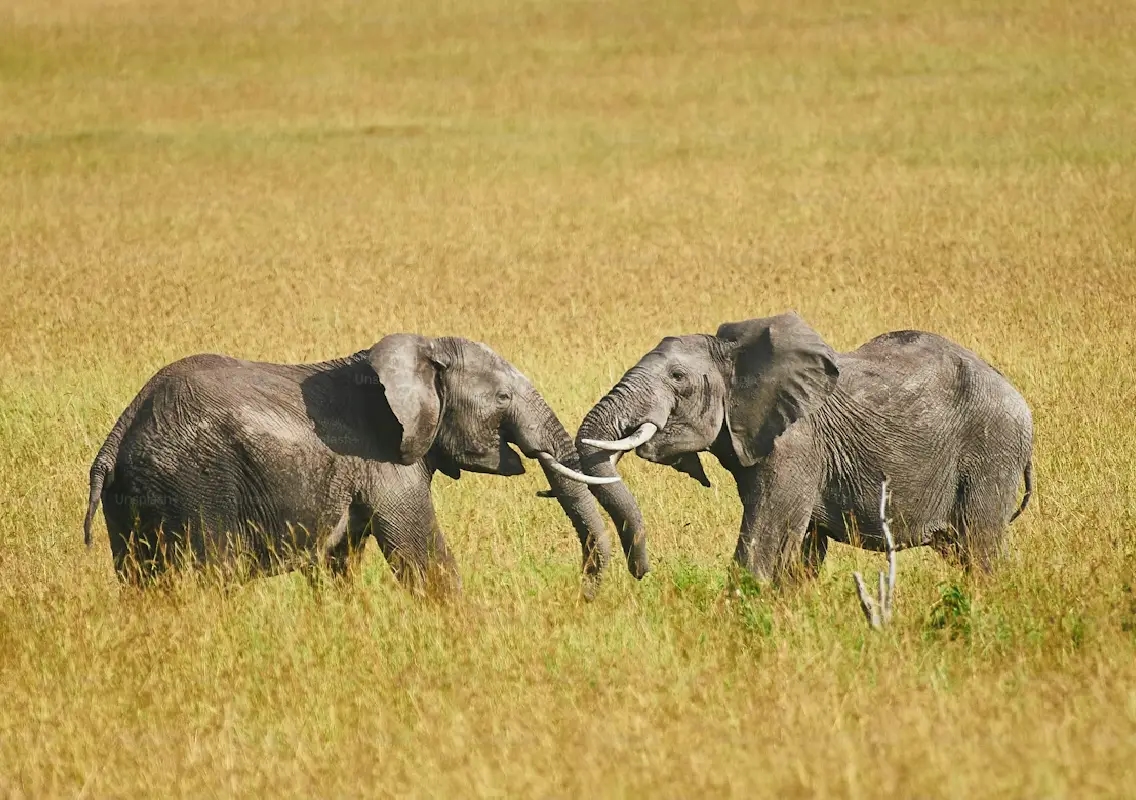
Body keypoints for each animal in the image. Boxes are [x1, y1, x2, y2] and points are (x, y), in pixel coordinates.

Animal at [82, 334, 617, 597]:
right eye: (503, 398)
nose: (581, 595)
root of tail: (120, 431)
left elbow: (337, 564)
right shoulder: (386, 460)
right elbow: (422, 557)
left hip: (135, 497)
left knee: (139, 581)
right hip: (197, 483)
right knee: (213, 573)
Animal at [575, 312, 1034, 584]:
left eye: (677, 378)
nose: (641, 574)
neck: (738, 357)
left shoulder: (795, 445)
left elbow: (763, 544)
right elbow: (799, 555)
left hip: (992, 449)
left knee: (980, 548)